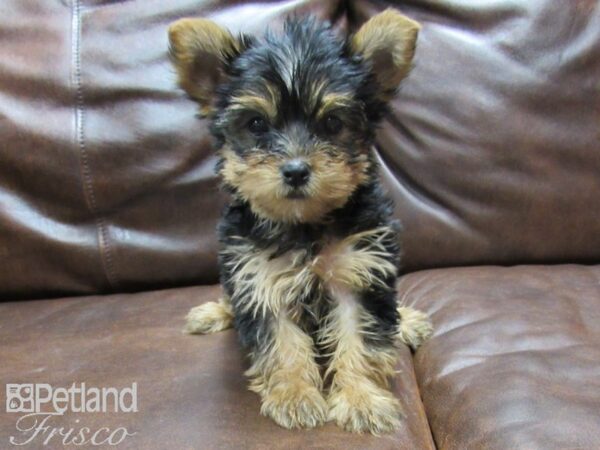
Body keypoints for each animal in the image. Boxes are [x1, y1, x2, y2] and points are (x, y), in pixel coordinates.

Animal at [168, 9, 432, 432]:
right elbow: (282, 342)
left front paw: (360, 399)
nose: (295, 170)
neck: (304, 224)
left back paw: (406, 321)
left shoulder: (358, 270)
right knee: (231, 296)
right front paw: (295, 395)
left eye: (333, 123)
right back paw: (214, 312)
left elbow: (359, 335)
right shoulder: (258, 275)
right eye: (256, 124)